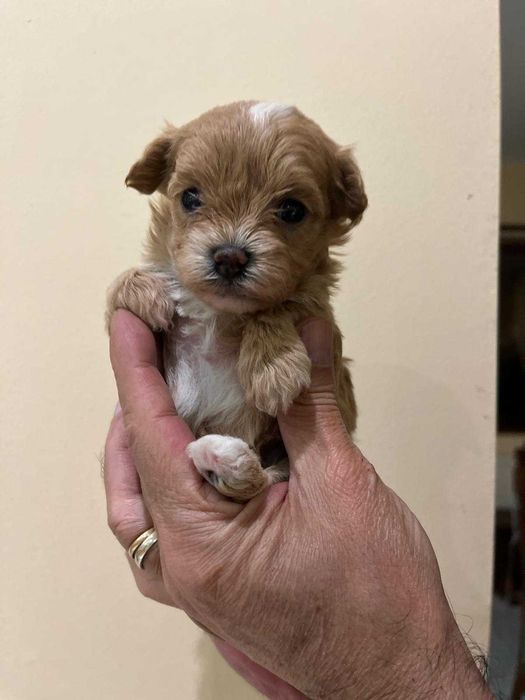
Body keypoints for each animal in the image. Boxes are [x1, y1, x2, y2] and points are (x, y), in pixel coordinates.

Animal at [107, 101, 367, 501]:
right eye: (190, 197)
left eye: (291, 210)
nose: (230, 256)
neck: (218, 313)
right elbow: (115, 295)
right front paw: (144, 288)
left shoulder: (328, 342)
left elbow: (283, 305)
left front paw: (273, 368)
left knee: (259, 480)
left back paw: (221, 456)